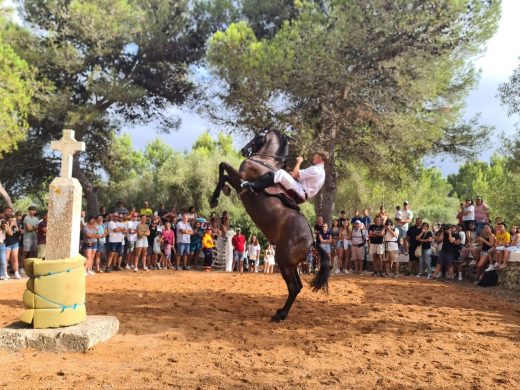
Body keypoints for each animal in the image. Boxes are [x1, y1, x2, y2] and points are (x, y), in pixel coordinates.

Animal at [210, 129, 330, 322]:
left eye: (258, 136)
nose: (244, 150)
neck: (264, 161)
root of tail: (312, 241)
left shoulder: (240, 178)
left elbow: (223, 167)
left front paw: (215, 198)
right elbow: (225, 172)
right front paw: (223, 192)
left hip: (283, 261)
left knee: (294, 286)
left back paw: (280, 315)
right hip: (290, 265)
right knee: (297, 286)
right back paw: (281, 312)